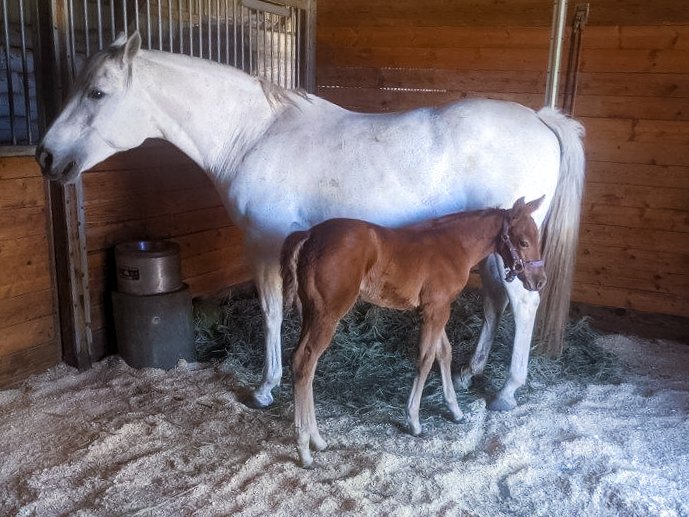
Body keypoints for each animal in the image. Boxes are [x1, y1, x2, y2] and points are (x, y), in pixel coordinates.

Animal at [36, 32, 585, 412]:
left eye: (98, 93)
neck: (254, 135)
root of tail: (540, 118)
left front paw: (265, 387)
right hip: (499, 251)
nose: (45, 156)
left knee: (524, 305)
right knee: (496, 302)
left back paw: (507, 392)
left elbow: (271, 313)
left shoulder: (265, 244)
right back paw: (473, 373)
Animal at [282, 197, 546, 467]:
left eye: (538, 238)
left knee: (301, 362)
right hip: (327, 313)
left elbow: (444, 352)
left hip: (311, 312)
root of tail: (308, 235)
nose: (539, 281)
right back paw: (304, 448)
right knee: (304, 362)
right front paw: (414, 421)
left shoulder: (435, 308)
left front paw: (455, 410)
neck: (454, 244)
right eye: (523, 242)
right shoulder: (436, 309)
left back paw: (317, 440)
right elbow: (425, 359)